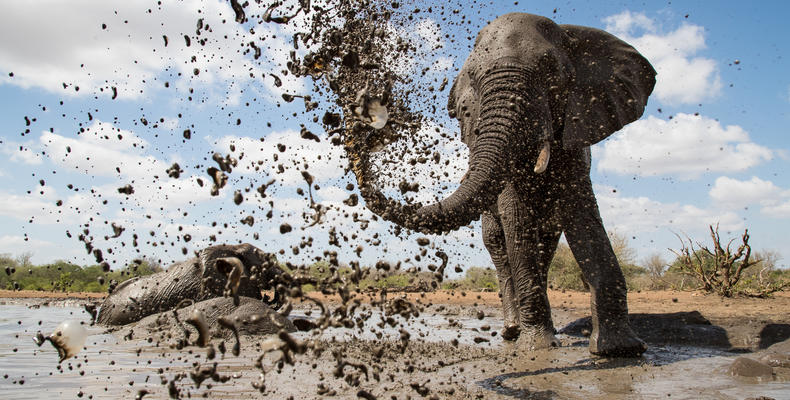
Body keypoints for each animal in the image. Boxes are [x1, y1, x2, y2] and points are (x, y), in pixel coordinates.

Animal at [350, 13, 656, 357]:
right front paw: (538, 347)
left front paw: (621, 350)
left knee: (544, 243)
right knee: (499, 242)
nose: (368, 125)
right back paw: (512, 331)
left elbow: (583, 216)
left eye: (552, 71)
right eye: (474, 78)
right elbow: (517, 220)